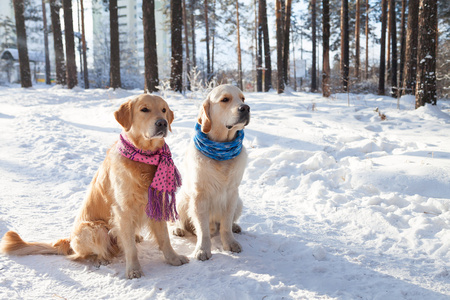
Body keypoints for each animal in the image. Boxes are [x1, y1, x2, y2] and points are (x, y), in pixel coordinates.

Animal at [0, 94, 188, 278]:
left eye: (163, 110)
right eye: (144, 109)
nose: (162, 123)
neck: (143, 157)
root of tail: (68, 240)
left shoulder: (157, 202)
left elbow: (164, 238)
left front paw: (173, 258)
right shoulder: (123, 210)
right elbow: (130, 248)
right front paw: (134, 269)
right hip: (96, 229)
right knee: (83, 254)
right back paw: (102, 260)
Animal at [174, 84, 250, 260]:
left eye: (243, 98)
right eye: (225, 99)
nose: (246, 108)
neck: (221, 150)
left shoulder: (232, 194)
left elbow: (226, 224)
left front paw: (230, 242)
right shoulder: (199, 196)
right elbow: (203, 229)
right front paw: (202, 249)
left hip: (240, 202)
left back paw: (235, 227)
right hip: (181, 199)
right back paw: (178, 229)